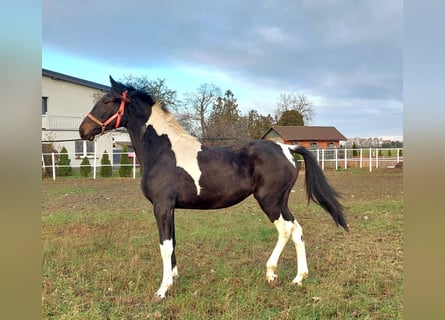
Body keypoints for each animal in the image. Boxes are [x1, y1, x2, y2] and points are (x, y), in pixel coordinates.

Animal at [79, 77, 346, 302]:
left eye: (106, 101)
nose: (83, 130)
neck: (163, 151)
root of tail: (287, 149)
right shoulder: (169, 209)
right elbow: (173, 243)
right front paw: (173, 279)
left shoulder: (162, 206)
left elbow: (165, 246)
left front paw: (162, 290)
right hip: (281, 202)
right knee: (297, 230)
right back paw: (298, 278)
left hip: (269, 201)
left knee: (285, 230)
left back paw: (271, 273)